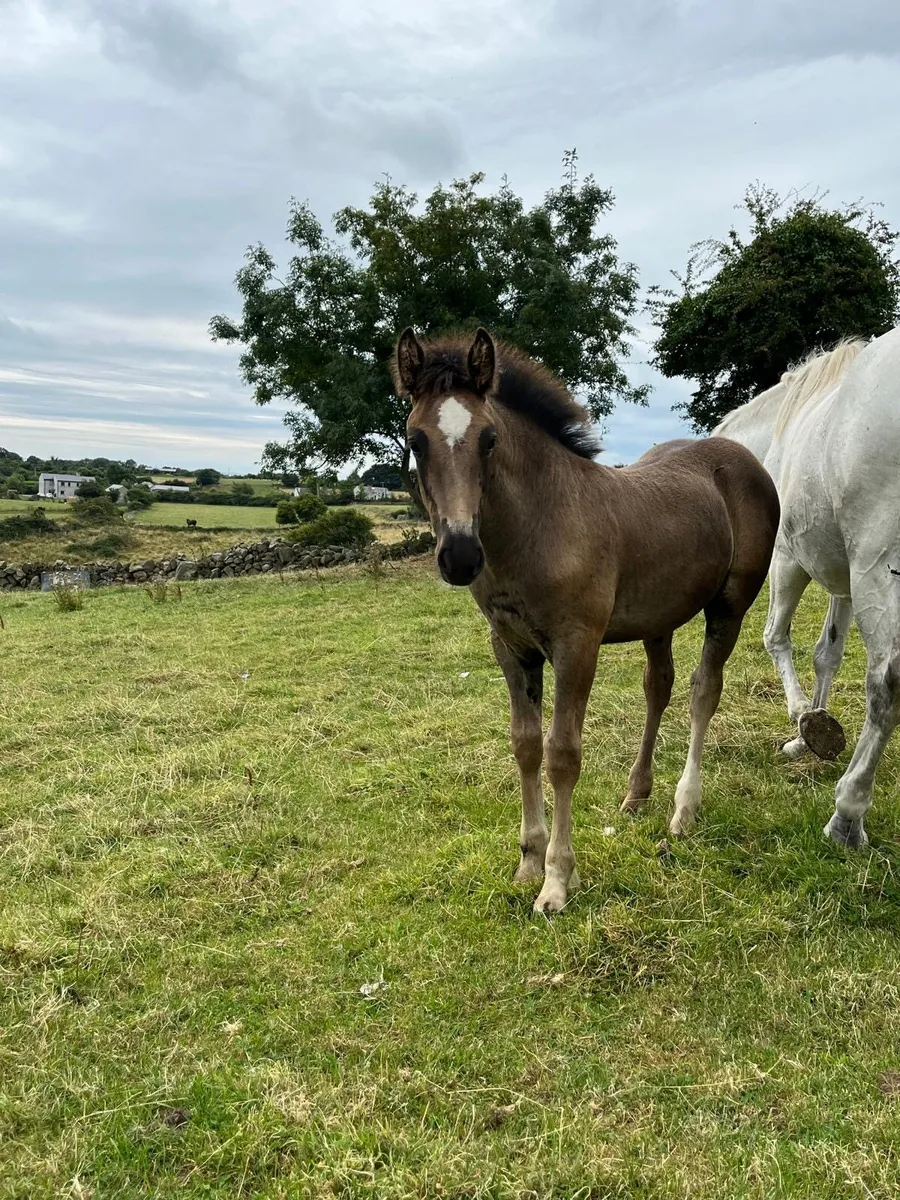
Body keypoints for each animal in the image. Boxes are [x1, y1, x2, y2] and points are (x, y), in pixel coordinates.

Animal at [394, 327, 780, 912]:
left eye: (489, 439)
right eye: (416, 440)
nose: (459, 556)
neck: (541, 523)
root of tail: (743, 456)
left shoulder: (577, 646)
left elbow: (562, 753)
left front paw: (557, 880)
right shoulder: (511, 647)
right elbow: (525, 745)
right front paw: (528, 863)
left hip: (729, 605)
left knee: (703, 690)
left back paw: (683, 810)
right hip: (658, 617)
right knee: (658, 686)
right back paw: (636, 794)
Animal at [713, 326, 900, 849]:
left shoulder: (788, 562)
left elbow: (775, 637)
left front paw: (802, 719)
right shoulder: (845, 582)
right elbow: (826, 655)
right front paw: (809, 730)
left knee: (887, 681)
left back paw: (847, 815)